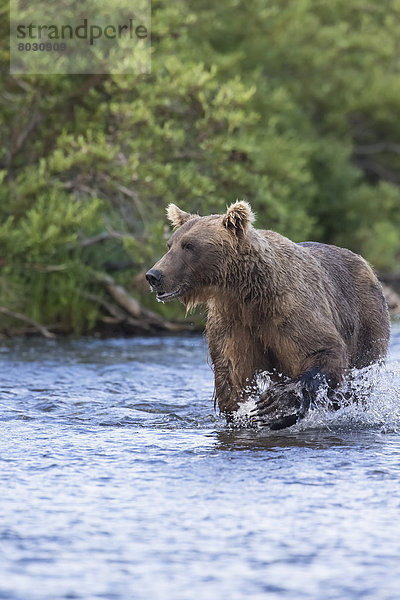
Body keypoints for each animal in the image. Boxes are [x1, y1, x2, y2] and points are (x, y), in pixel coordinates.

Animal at [145, 204, 390, 428]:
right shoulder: (232, 321)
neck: (246, 293)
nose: (154, 275)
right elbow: (232, 371)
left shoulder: (289, 309)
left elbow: (322, 350)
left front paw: (276, 403)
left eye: (189, 245)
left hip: (366, 321)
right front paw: (240, 413)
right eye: (170, 244)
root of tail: (366, 264)